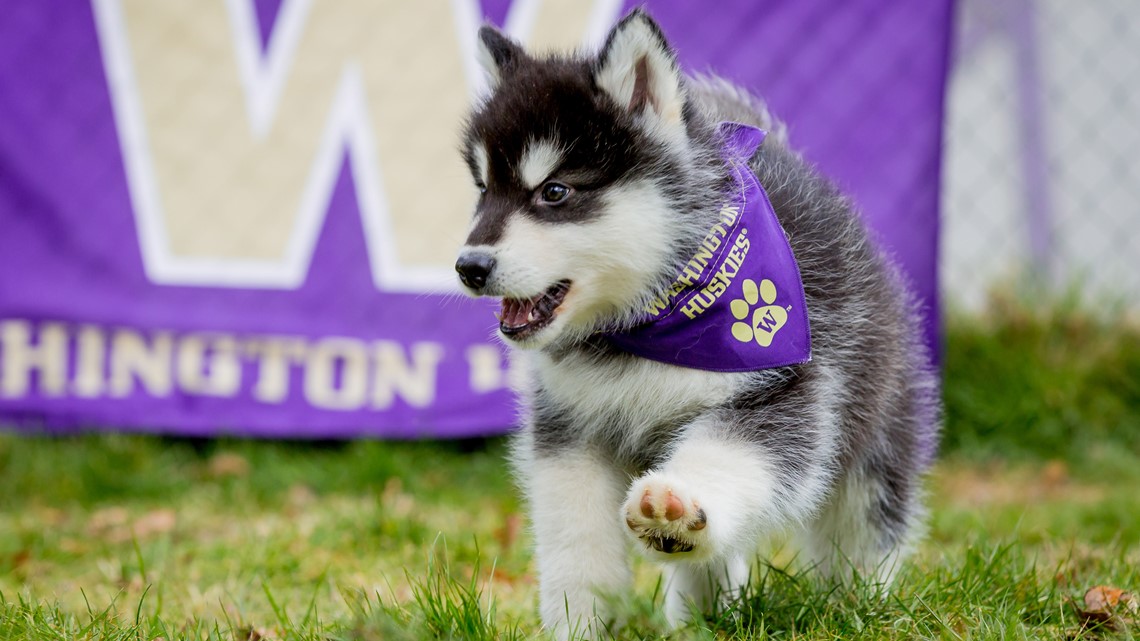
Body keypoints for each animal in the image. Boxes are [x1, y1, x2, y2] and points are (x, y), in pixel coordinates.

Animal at [456, 7, 943, 634]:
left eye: (555, 191)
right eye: (482, 190)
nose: (469, 267)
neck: (650, 320)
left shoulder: (784, 389)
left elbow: (729, 452)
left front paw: (676, 502)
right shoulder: (571, 425)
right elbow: (576, 538)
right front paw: (579, 619)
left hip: (878, 430)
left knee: (865, 529)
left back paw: (858, 606)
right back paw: (704, 615)